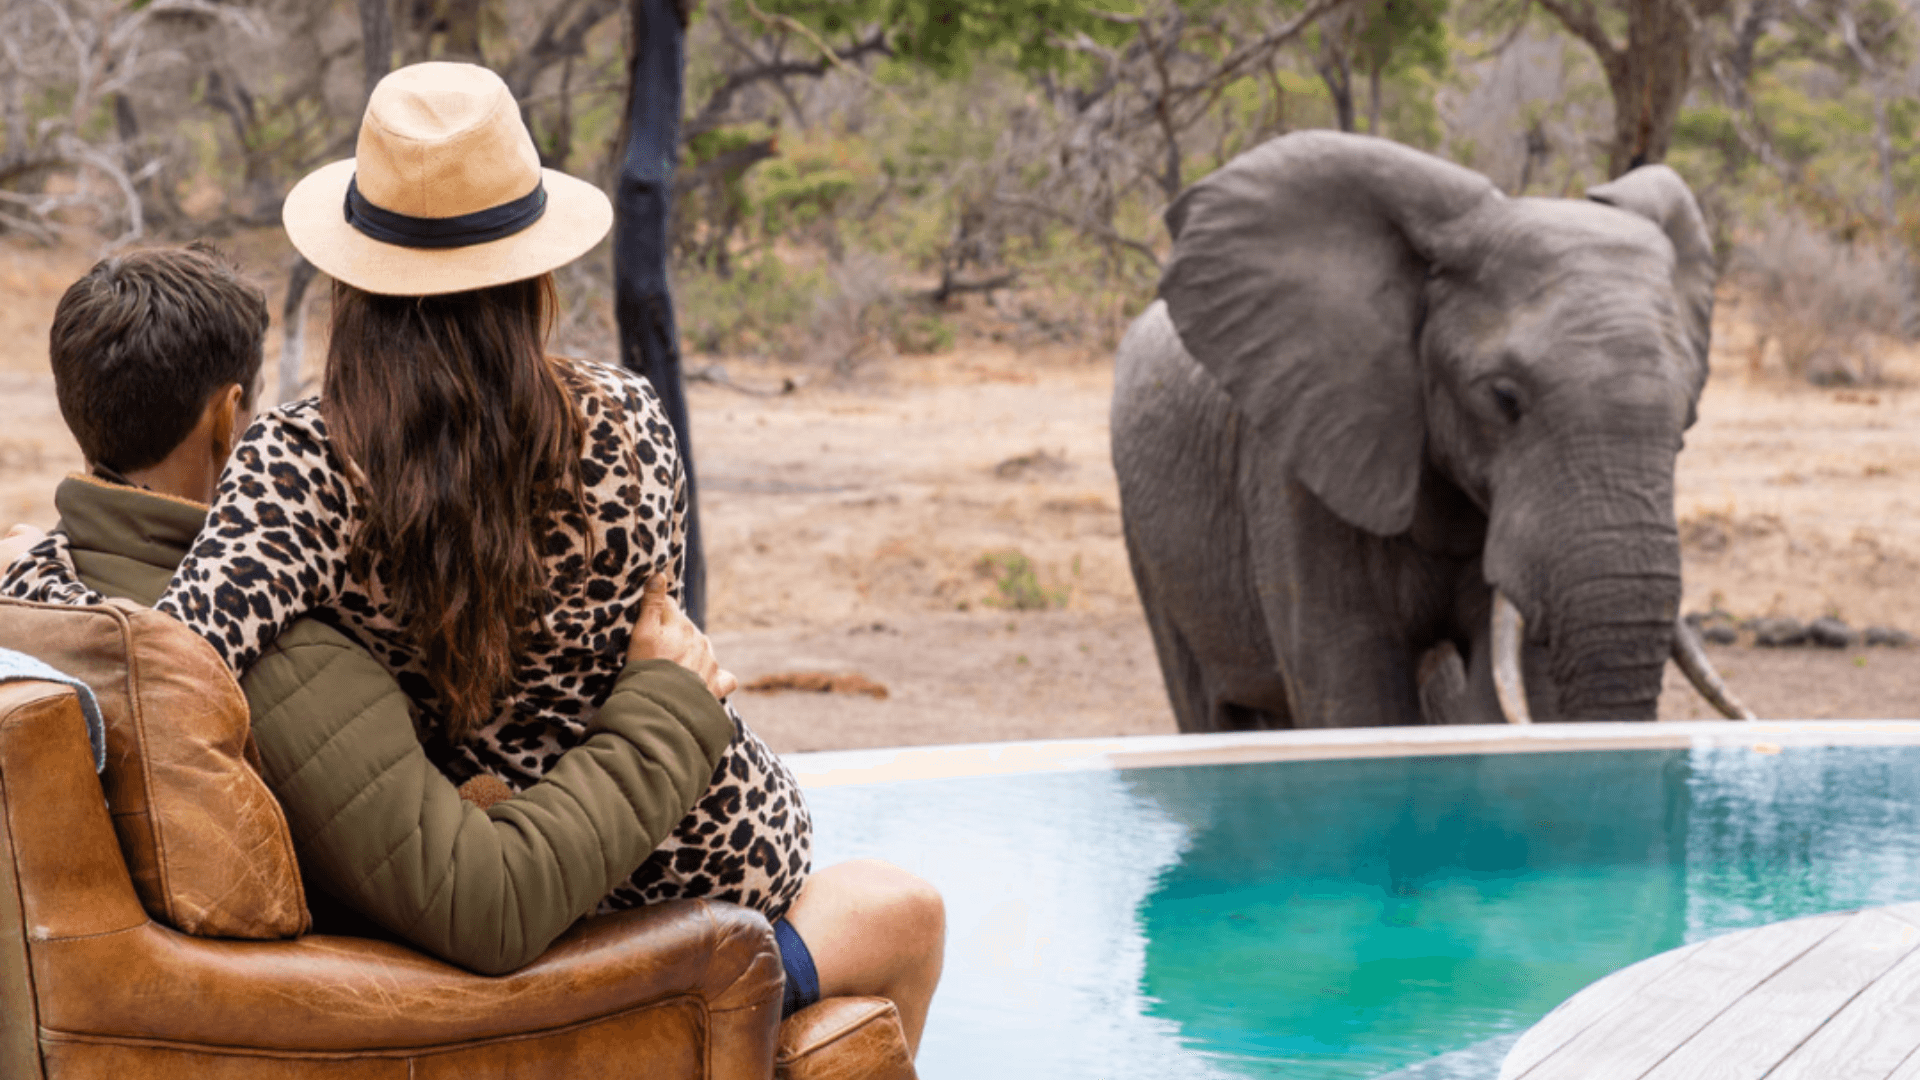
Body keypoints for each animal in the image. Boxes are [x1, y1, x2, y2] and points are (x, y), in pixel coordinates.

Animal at [1111, 131, 1751, 730]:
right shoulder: (1296, 468)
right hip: (1148, 537)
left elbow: (1502, 694)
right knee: (1207, 706)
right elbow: (1355, 702)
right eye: (1504, 399)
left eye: (1687, 419)